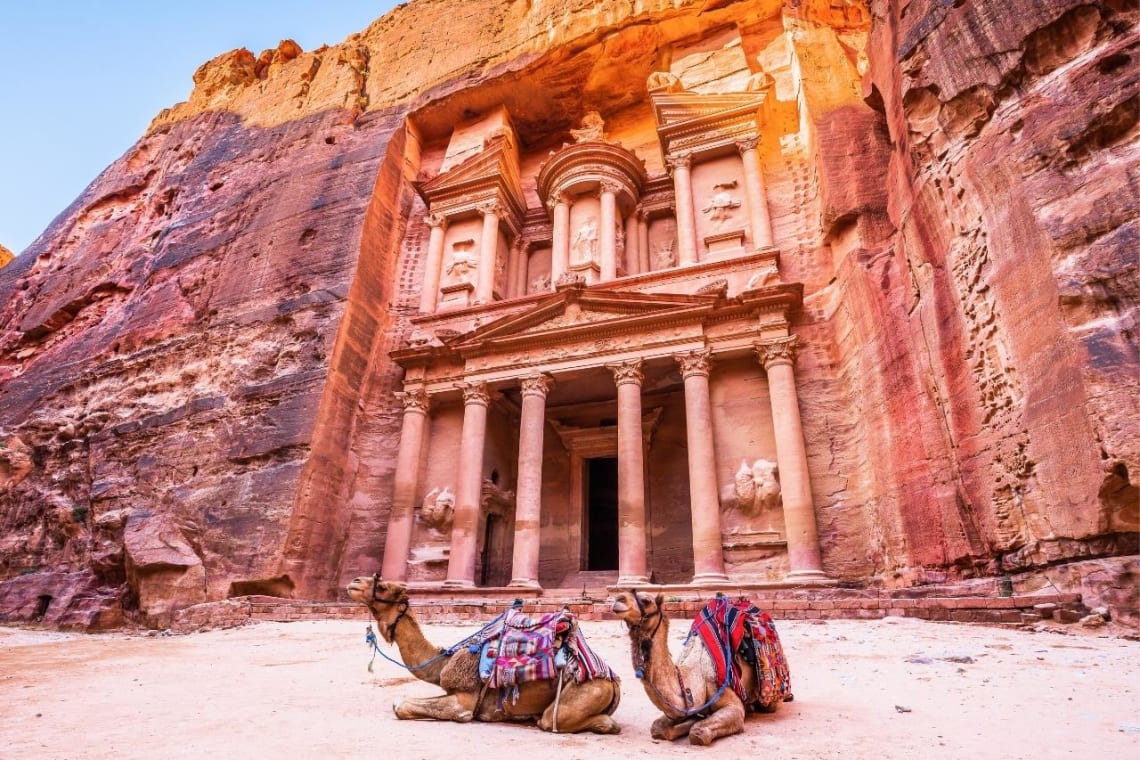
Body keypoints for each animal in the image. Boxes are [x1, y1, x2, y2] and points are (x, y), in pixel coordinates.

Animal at [344, 576, 624, 738]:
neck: (444, 661)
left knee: (554, 720)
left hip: (582, 692)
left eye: (381, 586)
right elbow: (399, 702)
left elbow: (402, 706)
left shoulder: (465, 700)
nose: (354, 581)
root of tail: (613, 682)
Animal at [611, 592, 788, 747]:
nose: (618, 599)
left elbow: (698, 733)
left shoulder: (730, 700)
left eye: (646, 601)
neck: (695, 675)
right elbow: (658, 728)